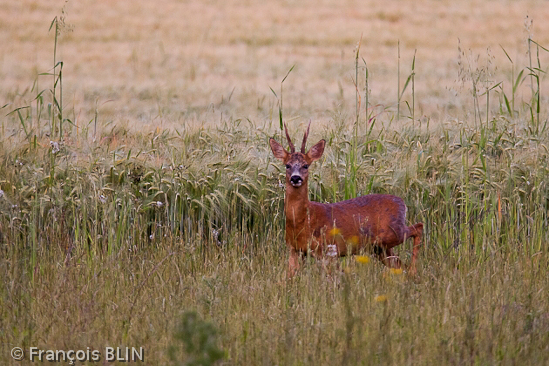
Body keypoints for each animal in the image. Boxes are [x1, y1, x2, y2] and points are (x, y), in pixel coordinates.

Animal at [270, 123, 424, 278]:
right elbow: (289, 276)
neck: (302, 219)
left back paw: (414, 270)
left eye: (305, 165)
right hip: (381, 249)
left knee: (418, 227)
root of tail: (402, 202)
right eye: (287, 165)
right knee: (400, 265)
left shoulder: (327, 250)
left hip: (392, 233)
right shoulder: (294, 249)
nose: (296, 178)